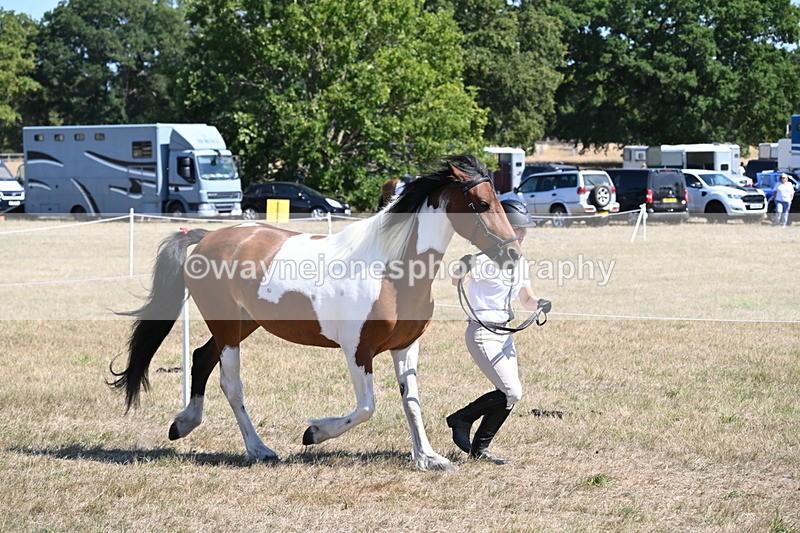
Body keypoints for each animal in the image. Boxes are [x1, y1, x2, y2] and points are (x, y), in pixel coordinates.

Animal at [110, 154, 522, 471]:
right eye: (480, 204)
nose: (513, 253)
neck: (391, 270)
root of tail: (206, 237)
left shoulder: (405, 347)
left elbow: (412, 402)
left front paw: (428, 458)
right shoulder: (358, 351)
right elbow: (367, 407)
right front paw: (314, 433)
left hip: (242, 325)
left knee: (201, 358)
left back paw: (184, 424)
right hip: (228, 328)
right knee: (230, 383)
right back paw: (259, 449)